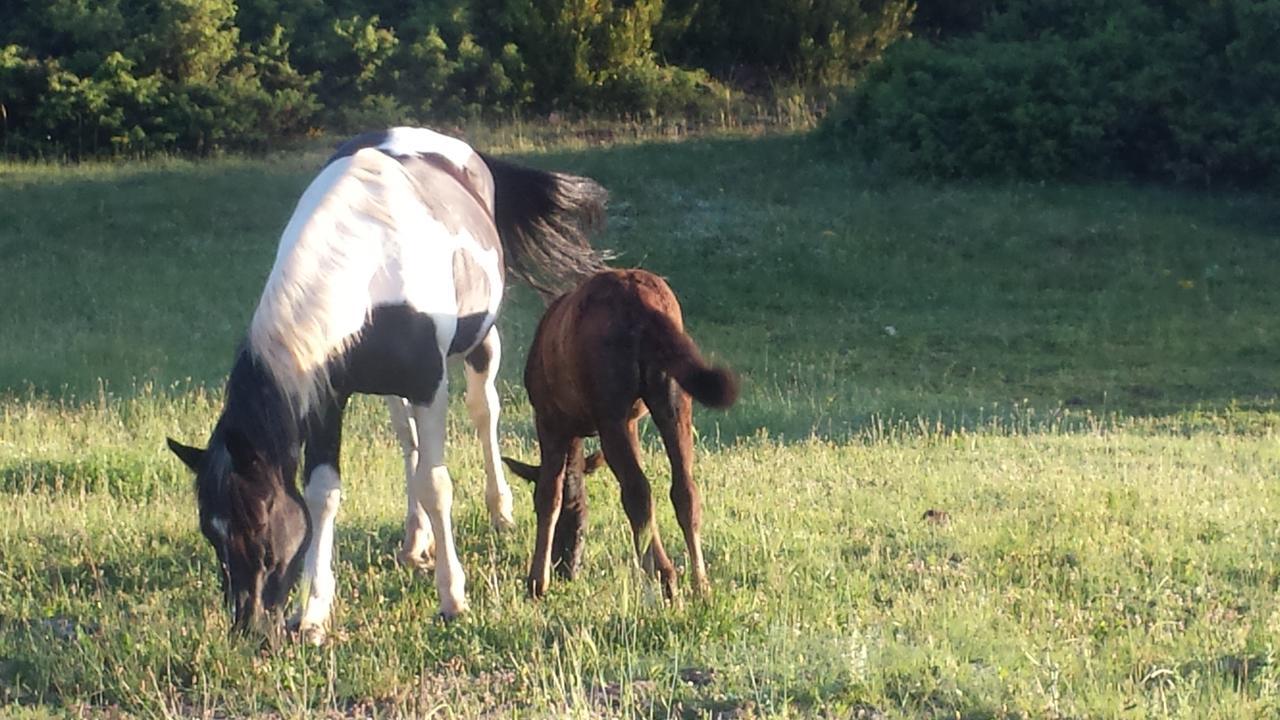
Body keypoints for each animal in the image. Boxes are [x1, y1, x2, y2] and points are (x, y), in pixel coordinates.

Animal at [167, 126, 606, 635]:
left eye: (258, 522)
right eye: (210, 531)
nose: (249, 622)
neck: (370, 270)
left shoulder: (430, 385)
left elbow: (436, 485)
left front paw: (453, 596)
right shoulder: (326, 398)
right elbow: (323, 495)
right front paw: (313, 613)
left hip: (480, 344)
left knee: (484, 413)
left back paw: (500, 511)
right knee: (408, 442)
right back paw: (415, 541)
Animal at [501, 267, 742, 594]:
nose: (566, 567)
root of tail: (644, 307)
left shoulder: (549, 417)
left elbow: (549, 494)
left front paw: (537, 581)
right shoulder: (631, 421)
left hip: (609, 408)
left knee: (638, 491)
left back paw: (665, 577)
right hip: (673, 397)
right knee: (684, 489)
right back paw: (700, 583)